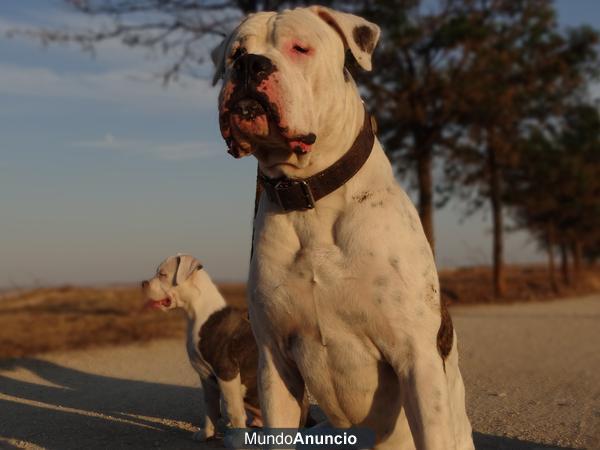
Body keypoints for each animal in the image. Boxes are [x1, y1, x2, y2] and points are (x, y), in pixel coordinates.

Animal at [142, 255, 264, 442]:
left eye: (162, 274)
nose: (143, 283)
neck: (197, 313)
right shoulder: (206, 377)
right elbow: (210, 408)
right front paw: (207, 434)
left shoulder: (227, 372)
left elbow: (232, 408)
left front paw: (237, 440)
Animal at [213, 4, 476, 450]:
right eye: (235, 54)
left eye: (299, 48)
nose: (250, 65)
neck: (310, 196)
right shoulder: (275, 361)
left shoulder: (417, 358)